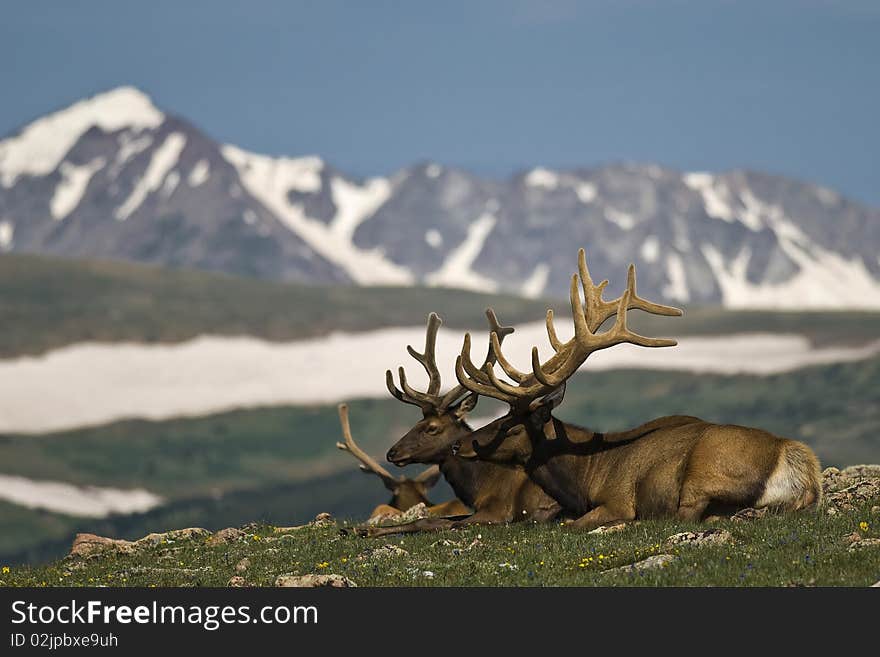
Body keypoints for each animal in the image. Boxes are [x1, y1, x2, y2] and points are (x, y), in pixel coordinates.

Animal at [354, 310, 560, 536]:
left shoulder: (498, 510)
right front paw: (363, 530)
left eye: (432, 427)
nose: (392, 452)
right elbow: (431, 519)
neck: (479, 486)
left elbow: (438, 522)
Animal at [454, 249, 824, 532]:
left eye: (511, 426)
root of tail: (798, 466)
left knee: (687, 515)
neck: (585, 479)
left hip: (704, 473)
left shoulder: (616, 499)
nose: (460, 444)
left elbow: (573, 523)